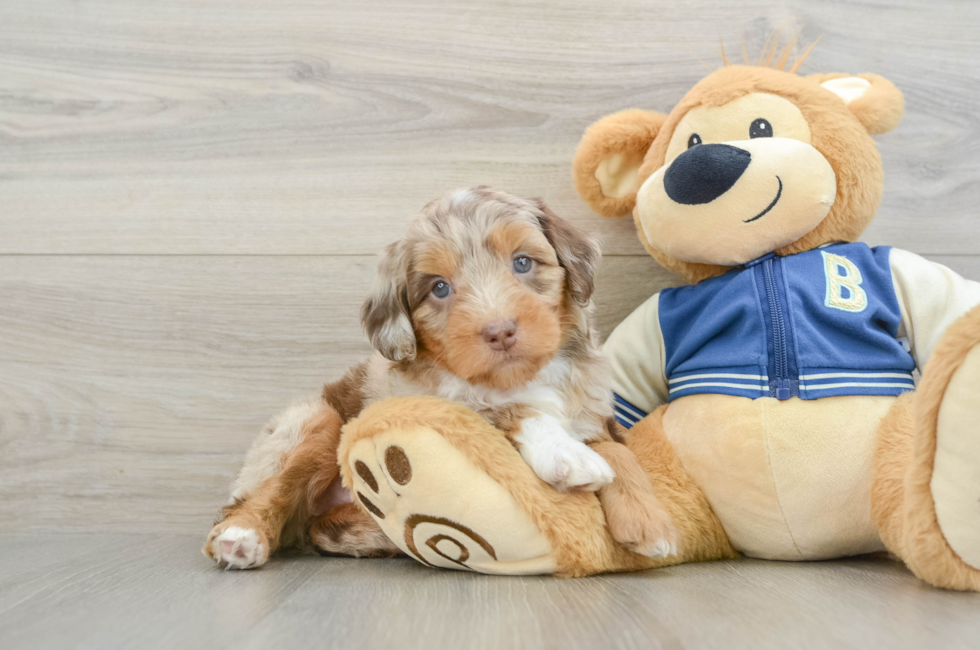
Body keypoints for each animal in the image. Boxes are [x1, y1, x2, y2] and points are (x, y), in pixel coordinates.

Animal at [205, 185, 680, 564]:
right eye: (439, 288)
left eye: (523, 263)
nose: (499, 331)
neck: (520, 378)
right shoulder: (440, 406)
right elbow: (513, 412)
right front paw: (568, 455)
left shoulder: (594, 412)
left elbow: (619, 452)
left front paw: (650, 522)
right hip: (312, 422)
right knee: (271, 490)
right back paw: (242, 535)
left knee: (322, 528)